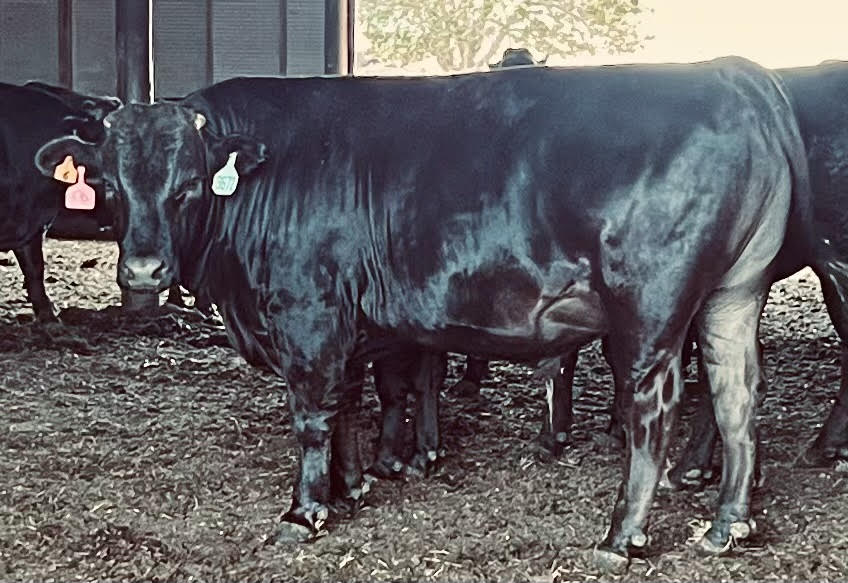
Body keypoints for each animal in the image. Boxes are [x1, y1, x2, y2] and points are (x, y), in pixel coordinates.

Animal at [34, 57, 816, 568]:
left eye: (190, 184)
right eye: (108, 183)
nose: (143, 271)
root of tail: (731, 73)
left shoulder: (308, 314)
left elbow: (312, 414)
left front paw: (304, 511)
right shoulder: (348, 324)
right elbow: (348, 403)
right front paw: (351, 486)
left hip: (651, 308)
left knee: (655, 410)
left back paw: (621, 537)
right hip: (733, 294)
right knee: (738, 398)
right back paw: (728, 524)